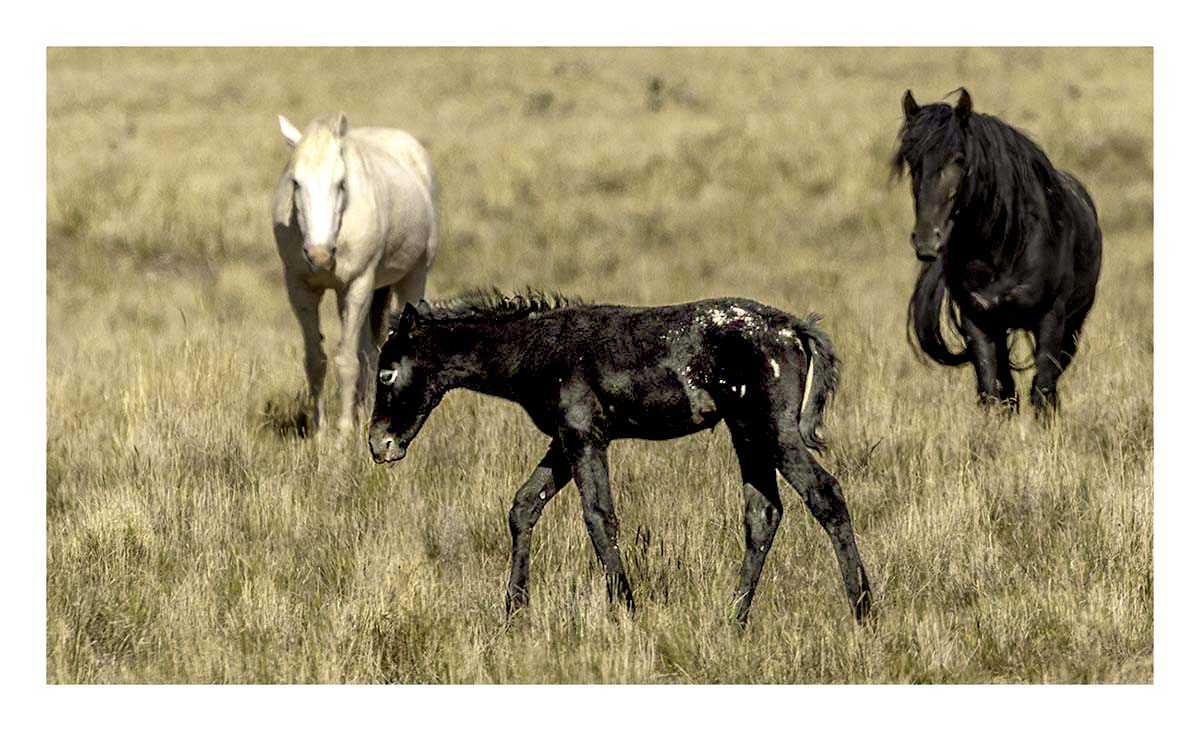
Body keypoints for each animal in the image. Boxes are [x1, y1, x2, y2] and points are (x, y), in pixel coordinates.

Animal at [272, 112, 439, 434]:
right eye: (296, 182)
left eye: (341, 183)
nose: (319, 255)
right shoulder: (299, 288)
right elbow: (317, 360)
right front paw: (319, 432)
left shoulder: (357, 285)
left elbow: (347, 361)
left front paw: (343, 434)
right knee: (370, 351)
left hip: (412, 279)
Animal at [367, 291, 872, 627]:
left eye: (386, 373)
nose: (379, 444)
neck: (535, 348)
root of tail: (792, 327)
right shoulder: (563, 443)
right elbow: (524, 506)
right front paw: (513, 612)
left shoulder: (584, 438)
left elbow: (598, 516)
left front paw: (626, 609)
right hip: (747, 435)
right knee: (764, 514)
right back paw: (734, 617)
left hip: (773, 431)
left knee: (826, 495)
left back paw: (864, 610)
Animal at [891, 89, 1102, 415]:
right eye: (911, 160)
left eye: (959, 159)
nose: (926, 240)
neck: (1003, 252)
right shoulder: (979, 322)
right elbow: (994, 391)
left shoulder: (1051, 319)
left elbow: (1042, 390)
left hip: (1073, 326)